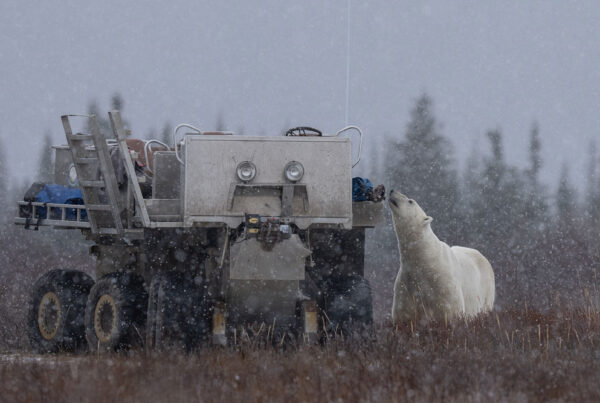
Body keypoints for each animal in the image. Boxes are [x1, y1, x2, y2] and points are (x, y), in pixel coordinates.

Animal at [386, 191, 494, 324]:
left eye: (410, 201)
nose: (392, 191)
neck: (425, 257)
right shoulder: (407, 284)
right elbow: (404, 314)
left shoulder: (444, 282)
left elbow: (451, 311)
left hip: (486, 291)